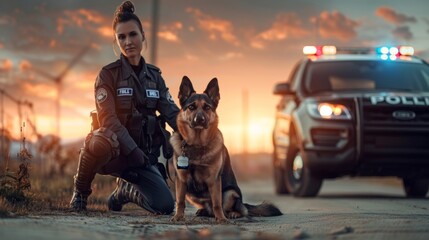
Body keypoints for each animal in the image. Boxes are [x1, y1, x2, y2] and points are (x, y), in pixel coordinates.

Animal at [169, 76, 282, 222]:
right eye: (191, 107)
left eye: (207, 107)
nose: (200, 119)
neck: (197, 144)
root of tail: (243, 203)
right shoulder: (181, 180)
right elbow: (180, 201)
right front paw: (178, 216)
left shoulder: (214, 180)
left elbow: (217, 203)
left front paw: (222, 219)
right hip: (192, 195)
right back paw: (204, 211)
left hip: (230, 193)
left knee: (236, 209)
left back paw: (232, 214)